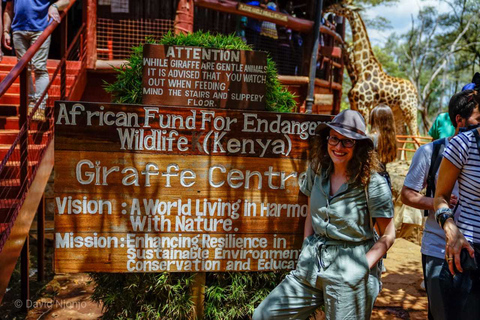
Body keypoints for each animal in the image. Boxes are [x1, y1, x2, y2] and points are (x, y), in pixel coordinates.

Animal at [328, 3, 418, 136]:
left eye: (342, 5)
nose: (327, 9)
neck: (361, 68)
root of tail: (415, 91)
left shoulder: (364, 107)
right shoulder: (354, 105)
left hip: (410, 111)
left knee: (417, 135)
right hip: (398, 114)